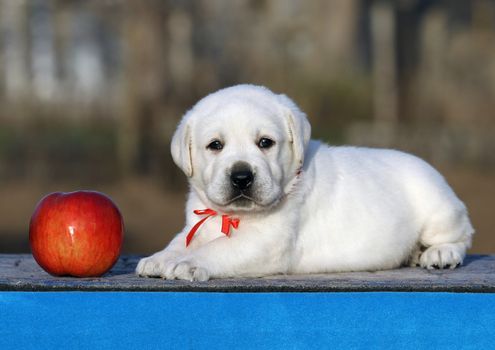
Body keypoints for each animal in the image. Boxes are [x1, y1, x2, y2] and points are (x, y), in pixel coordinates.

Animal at [135, 85, 472, 282]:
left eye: (265, 142)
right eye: (215, 145)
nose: (242, 177)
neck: (235, 216)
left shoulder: (267, 242)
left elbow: (218, 249)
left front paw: (186, 264)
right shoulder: (198, 223)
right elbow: (181, 241)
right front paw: (158, 259)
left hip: (439, 211)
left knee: (462, 236)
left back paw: (439, 254)